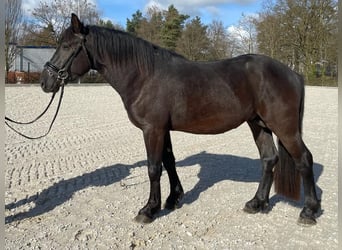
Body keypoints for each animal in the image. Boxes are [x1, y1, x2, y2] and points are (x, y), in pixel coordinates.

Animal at [40, 13, 320, 225]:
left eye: (67, 47)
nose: (45, 82)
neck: (145, 76)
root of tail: (292, 73)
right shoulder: (163, 129)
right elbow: (169, 162)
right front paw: (173, 199)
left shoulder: (152, 129)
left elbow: (154, 168)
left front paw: (148, 210)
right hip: (259, 125)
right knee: (269, 159)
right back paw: (257, 203)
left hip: (284, 127)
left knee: (304, 160)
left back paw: (309, 211)